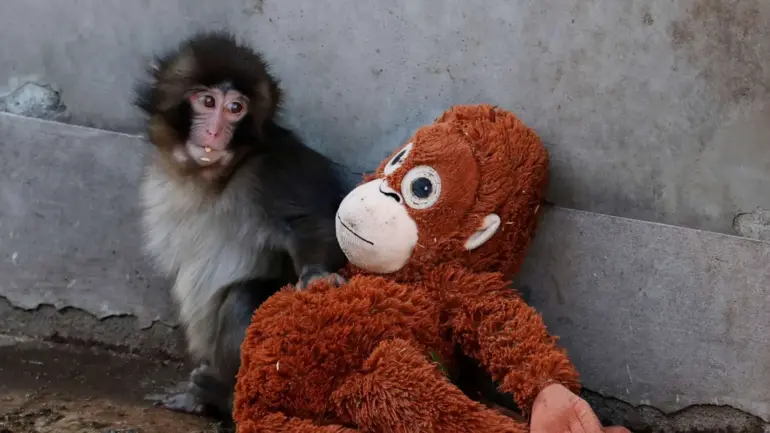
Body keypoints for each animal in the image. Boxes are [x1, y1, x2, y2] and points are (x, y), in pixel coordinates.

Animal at [133, 31, 349, 420]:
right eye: (207, 101)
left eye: (236, 108)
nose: (215, 131)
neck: (214, 177)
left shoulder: (274, 169)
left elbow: (312, 222)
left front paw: (316, 275)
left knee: (242, 298)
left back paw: (222, 394)